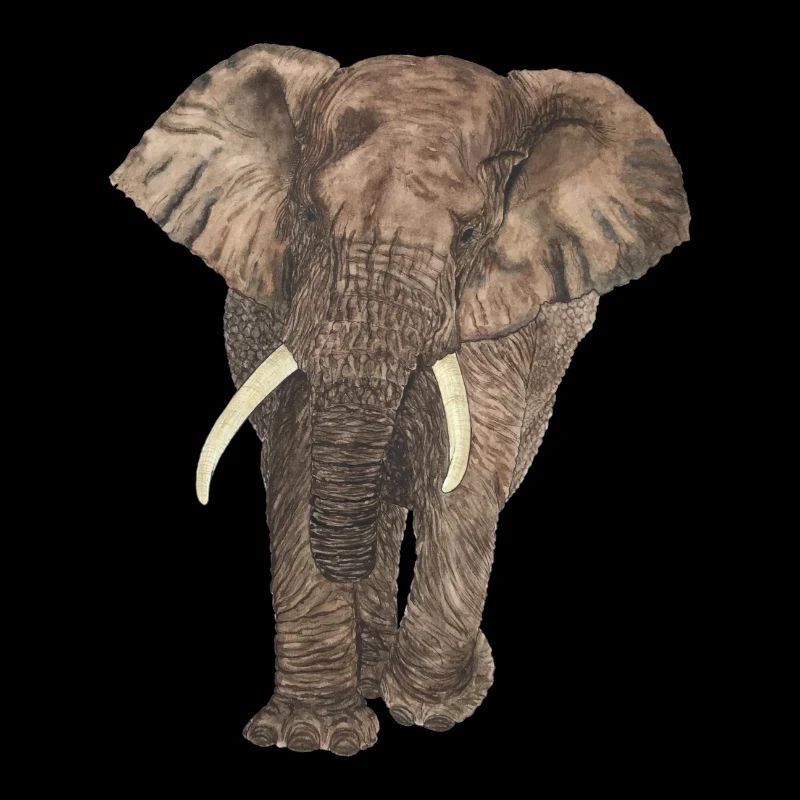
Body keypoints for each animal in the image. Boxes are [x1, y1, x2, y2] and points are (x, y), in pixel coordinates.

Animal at [111, 44, 689, 756]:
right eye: (308, 218)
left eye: (470, 236)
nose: (482, 667)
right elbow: (297, 466)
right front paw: (311, 735)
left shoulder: (495, 319)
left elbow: (464, 483)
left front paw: (431, 707)